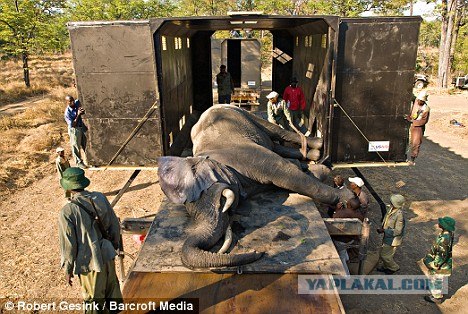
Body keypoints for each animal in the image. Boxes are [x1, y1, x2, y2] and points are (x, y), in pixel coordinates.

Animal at [157, 105, 352, 270]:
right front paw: (313, 168)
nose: (259, 252)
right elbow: (289, 170)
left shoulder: (249, 156)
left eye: (222, 203)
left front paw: (348, 199)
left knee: (276, 132)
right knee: (276, 146)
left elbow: (286, 174)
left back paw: (318, 145)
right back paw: (315, 155)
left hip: (245, 114)